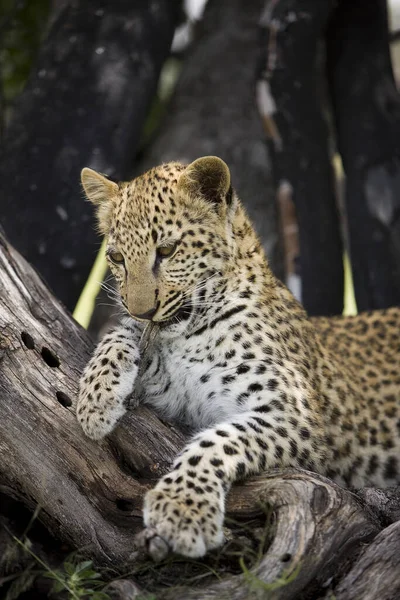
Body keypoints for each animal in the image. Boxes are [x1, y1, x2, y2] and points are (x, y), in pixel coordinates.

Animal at [76, 157, 400, 560]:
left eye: (167, 250)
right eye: (116, 257)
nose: (142, 310)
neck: (189, 333)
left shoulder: (294, 414)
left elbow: (216, 442)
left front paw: (181, 510)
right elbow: (119, 334)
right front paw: (94, 400)